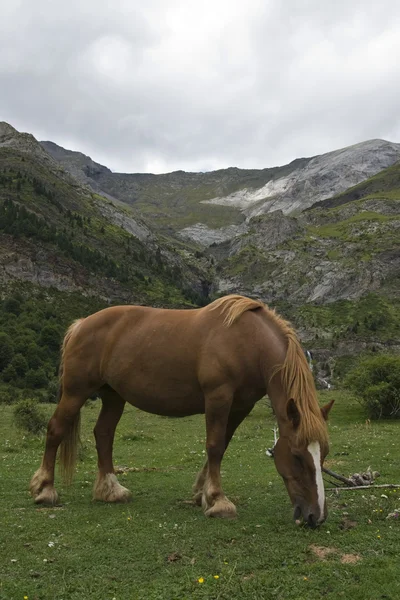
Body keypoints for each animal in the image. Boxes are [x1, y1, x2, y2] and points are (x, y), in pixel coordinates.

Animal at [29, 294, 332, 524]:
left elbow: (222, 446)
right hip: (76, 392)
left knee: (103, 434)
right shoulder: (218, 398)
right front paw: (218, 501)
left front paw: (201, 493)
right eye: (297, 456)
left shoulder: (240, 406)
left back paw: (111, 490)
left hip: (113, 396)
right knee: (56, 429)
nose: (315, 516)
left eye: (324, 454)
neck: (247, 341)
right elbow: (214, 446)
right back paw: (45, 489)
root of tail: (81, 324)